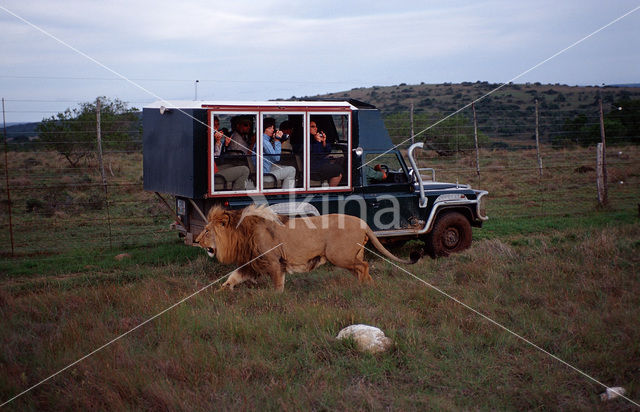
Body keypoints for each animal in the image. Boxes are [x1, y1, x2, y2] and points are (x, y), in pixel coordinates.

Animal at [192, 204, 418, 292]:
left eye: (207, 231)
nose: (196, 241)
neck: (242, 233)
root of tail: (363, 222)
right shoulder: (251, 263)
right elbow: (232, 277)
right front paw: (219, 291)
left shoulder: (274, 262)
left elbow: (278, 285)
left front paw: (277, 298)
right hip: (351, 255)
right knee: (363, 268)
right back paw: (367, 286)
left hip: (339, 255)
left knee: (364, 266)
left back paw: (362, 288)